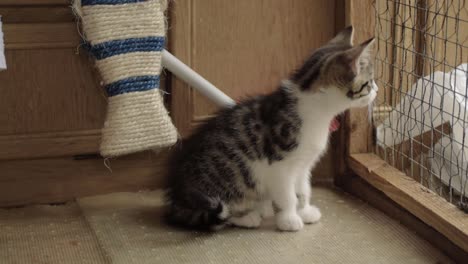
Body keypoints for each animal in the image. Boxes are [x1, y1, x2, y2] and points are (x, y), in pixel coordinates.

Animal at [166, 25, 378, 230]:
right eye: (368, 83)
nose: (377, 90)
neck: (317, 111)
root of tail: (178, 200)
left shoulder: (304, 164)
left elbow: (303, 189)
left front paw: (305, 211)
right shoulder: (279, 165)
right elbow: (288, 195)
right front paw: (290, 219)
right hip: (230, 178)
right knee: (223, 211)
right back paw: (248, 216)